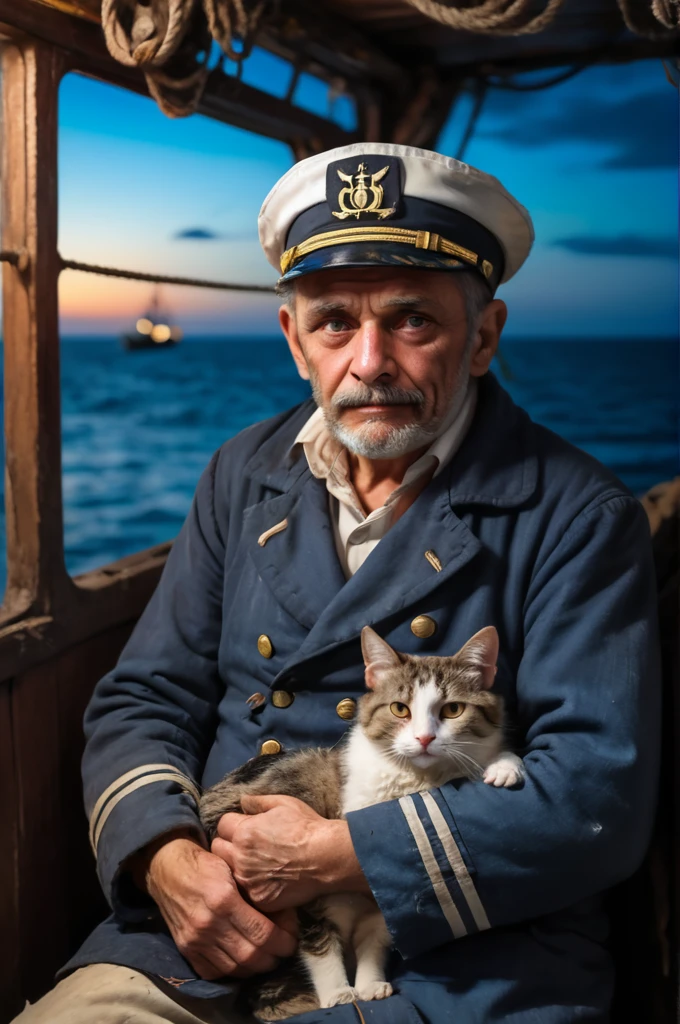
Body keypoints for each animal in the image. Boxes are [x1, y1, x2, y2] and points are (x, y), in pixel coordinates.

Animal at [199, 626, 522, 1019]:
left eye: (453, 709)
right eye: (400, 709)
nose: (425, 738)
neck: (415, 781)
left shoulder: (382, 897)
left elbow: (376, 936)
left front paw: (369, 984)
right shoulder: (305, 891)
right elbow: (320, 941)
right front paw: (338, 993)